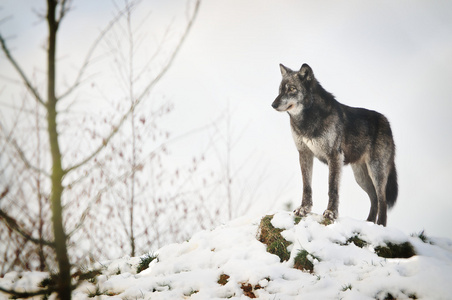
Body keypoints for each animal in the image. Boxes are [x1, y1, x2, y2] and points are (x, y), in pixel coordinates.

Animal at [272, 64, 396, 226]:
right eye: (280, 90)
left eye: (292, 89)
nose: (273, 104)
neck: (307, 120)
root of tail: (386, 122)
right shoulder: (304, 154)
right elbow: (306, 186)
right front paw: (304, 209)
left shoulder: (334, 156)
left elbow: (332, 188)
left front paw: (331, 213)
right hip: (361, 177)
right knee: (374, 199)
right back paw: (369, 223)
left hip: (376, 171)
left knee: (383, 200)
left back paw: (379, 225)